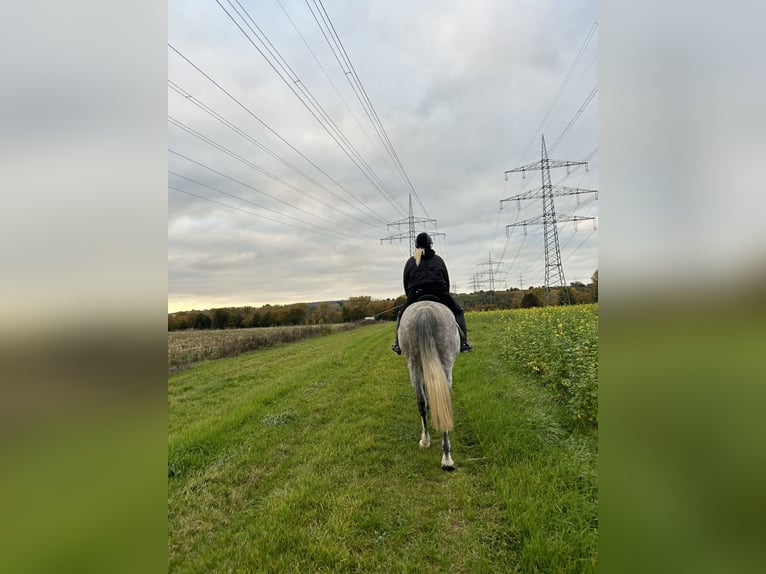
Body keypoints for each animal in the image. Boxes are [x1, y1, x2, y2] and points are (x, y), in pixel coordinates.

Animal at [400, 302, 460, 472]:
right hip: (445, 362)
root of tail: (425, 310)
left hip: (413, 364)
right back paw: (445, 457)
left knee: (421, 402)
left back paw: (430, 444)